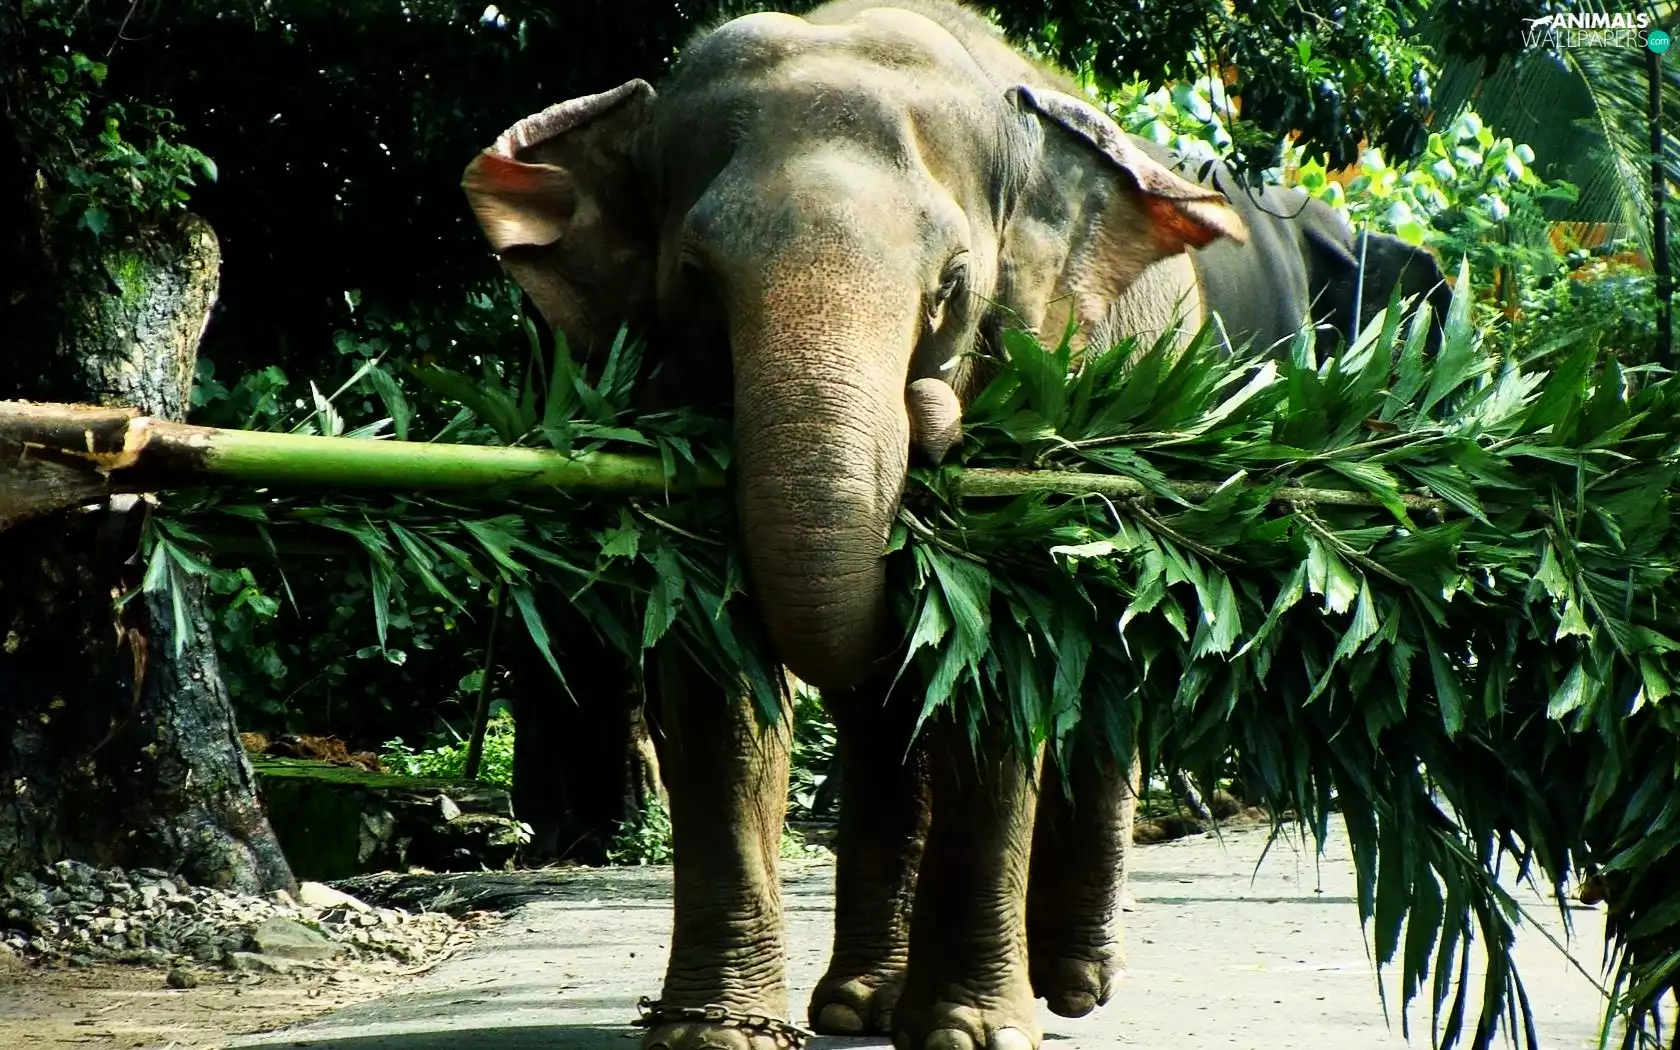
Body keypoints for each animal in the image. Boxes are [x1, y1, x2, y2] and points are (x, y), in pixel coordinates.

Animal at [459, 3, 1451, 1050]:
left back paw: (1071, 985)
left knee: (1098, 676)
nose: (927, 415)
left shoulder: (1045, 377)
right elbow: (712, 672)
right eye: (693, 275)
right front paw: (714, 1035)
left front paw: (969, 1033)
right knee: (886, 712)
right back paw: (858, 1003)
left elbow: (1004, 663)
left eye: (953, 286)